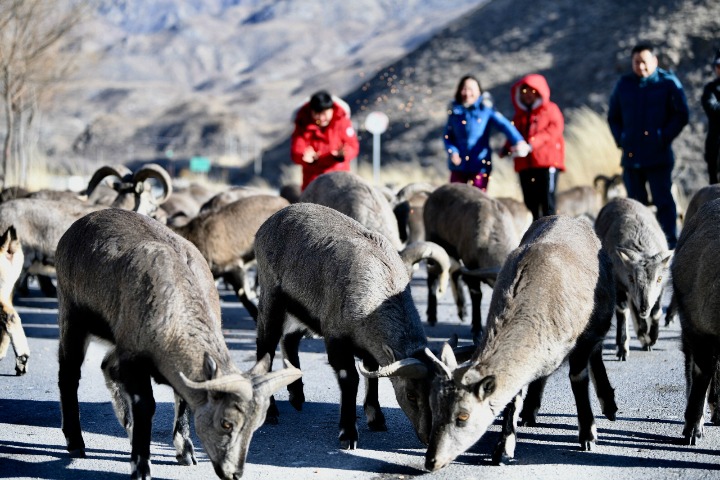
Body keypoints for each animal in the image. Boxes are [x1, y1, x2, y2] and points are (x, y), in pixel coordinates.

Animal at [56, 209, 300, 480]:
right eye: (226, 422)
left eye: (256, 425)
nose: (234, 473)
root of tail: (76, 227)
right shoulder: (133, 357)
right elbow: (146, 405)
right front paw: (141, 466)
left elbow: (181, 398)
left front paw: (185, 451)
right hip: (72, 316)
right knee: (69, 375)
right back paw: (75, 441)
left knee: (107, 367)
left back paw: (126, 427)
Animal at [253, 202, 444, 450]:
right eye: (411, 395)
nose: (428, 436)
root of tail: (268, 223)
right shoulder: (336, 338)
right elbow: (350, 378)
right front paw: (348, 433)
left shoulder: (368, 345)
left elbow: (372, 373)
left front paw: (376, 418)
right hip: (272, 298)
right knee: (265, 345)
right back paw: (271, 411)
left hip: (303, 310)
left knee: (290, 339)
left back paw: (297, 396)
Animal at [424, 216, 616, 470]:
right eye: (433, 407)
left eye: (463, 416)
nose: (432, 460)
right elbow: (514, 396)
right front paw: (503, 449)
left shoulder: (582, 340)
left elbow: (578, 379)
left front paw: (588, 436)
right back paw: (530, 411)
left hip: (601, 320)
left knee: (597, 352)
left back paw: (609, 405)